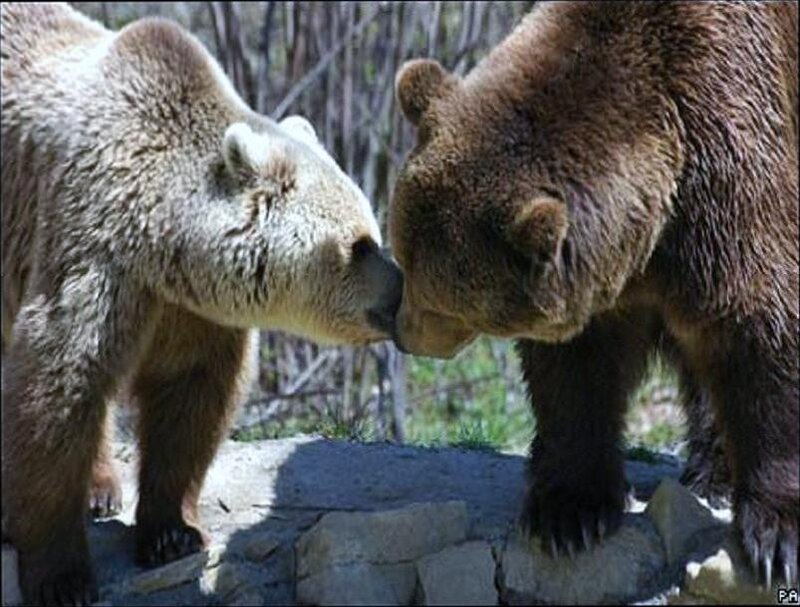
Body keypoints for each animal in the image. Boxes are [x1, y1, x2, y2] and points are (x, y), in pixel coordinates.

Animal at [1, 3, 402, 605]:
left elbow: (190, 395)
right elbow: (61, 379)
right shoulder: (93, 246)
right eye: (360, 244)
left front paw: (171, 533)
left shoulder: (190, 305)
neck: (161, 238)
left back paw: (100, 488)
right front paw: (62, 577)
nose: (400, 289)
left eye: (372, 230)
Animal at [389, 0, 797, 587]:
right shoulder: (600, 280)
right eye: (402, 256)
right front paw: (569, 513)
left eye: (438, 300)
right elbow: (576, 374)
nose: (401, 331)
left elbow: (758, 327)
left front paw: (776, 535)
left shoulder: (733, 167)